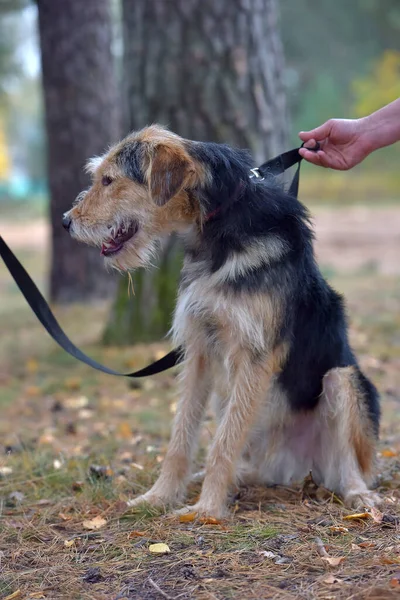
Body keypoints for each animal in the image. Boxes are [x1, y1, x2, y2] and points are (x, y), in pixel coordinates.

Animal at [62, 125, 382, 516]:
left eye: (109, 180)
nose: (65, 222)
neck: (218, 230)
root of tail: (293, 466)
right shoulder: (199, 349)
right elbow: (181, 438)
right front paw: (160, 497)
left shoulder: (255, 356)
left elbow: (223, 443)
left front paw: (206, 511)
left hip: (342, 381)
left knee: (349, 465)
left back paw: (358, 495)